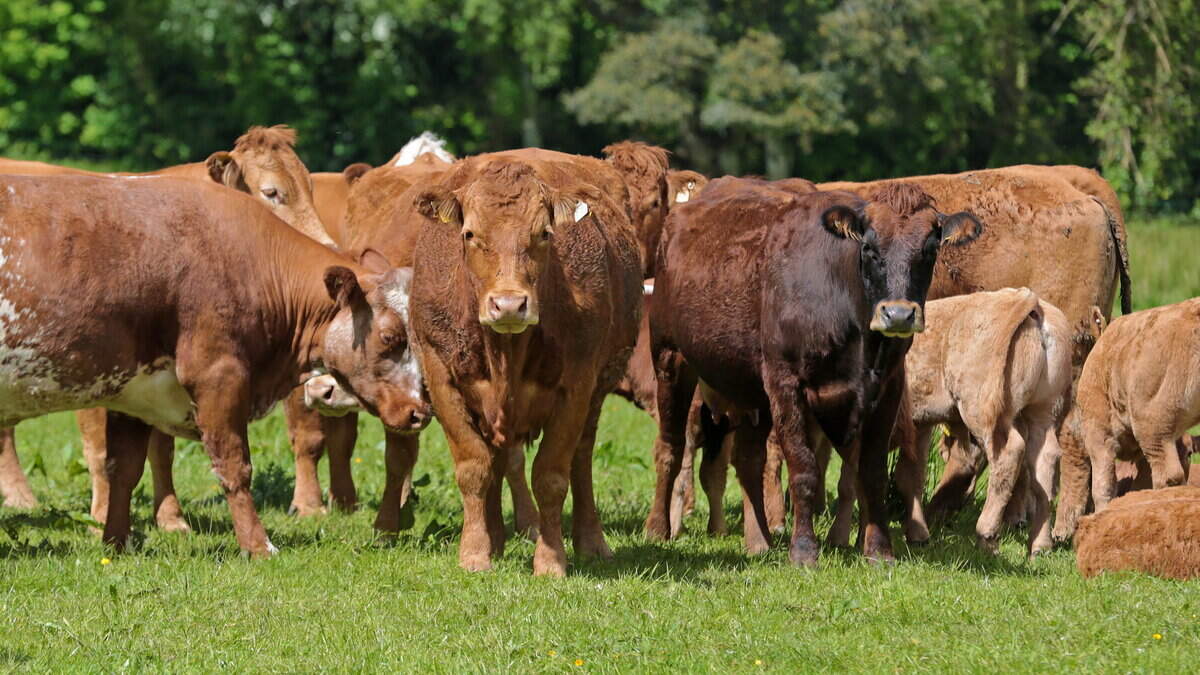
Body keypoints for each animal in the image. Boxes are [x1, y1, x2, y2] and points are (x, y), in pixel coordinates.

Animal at [0, 174, 425, 556]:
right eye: (391, 336)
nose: (419, 411)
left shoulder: (134, 391)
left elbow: (123, 469)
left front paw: (116, 544)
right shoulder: (219, 375)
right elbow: (234, 467)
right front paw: (258, 546)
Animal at [408, 154, 641, 576]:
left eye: (544, 234)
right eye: (469, 233)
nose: (509, 304)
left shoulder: (577, 384)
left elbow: (551, 475)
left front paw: (550, 560)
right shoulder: (440, 376)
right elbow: (474, 467)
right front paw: (475, 553)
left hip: (596, 395)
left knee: (581, 460)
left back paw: (591, 542)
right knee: (498, 459)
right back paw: (495, 540)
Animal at [647, 177, 981, 564]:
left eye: (929, 249)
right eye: (869, 248)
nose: (898, 314)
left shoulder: (889, 387)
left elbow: (872, 472)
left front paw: (879, 550)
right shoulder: (786, 383)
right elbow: (804, 468)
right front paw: (804, 549)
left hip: (750, 387)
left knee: (748, 459)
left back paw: (759, 540)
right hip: (671, 359)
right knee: (669, 446)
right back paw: (658, 528)